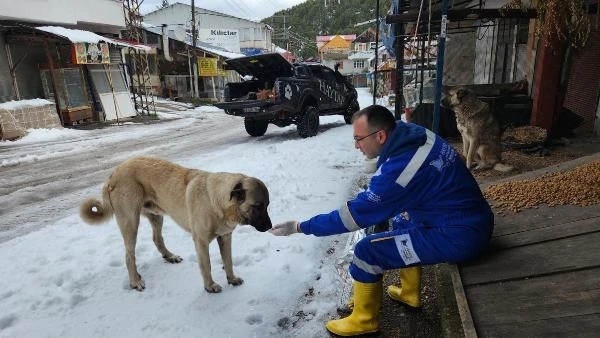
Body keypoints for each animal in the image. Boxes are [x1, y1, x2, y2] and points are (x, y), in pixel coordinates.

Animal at [79, 156, 272, 290]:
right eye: (257, 206)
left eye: (267, 205)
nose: (270, 227)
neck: (217, 201)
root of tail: (113, 174)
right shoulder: (201, 241)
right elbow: (207, 265)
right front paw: (210, 286)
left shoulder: (225, 237)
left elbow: (229, 261)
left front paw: (231, 279)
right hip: (130, 222)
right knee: (129, 255)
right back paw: (134, 281)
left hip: (156, 216)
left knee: (157, 239)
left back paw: (169, 256)